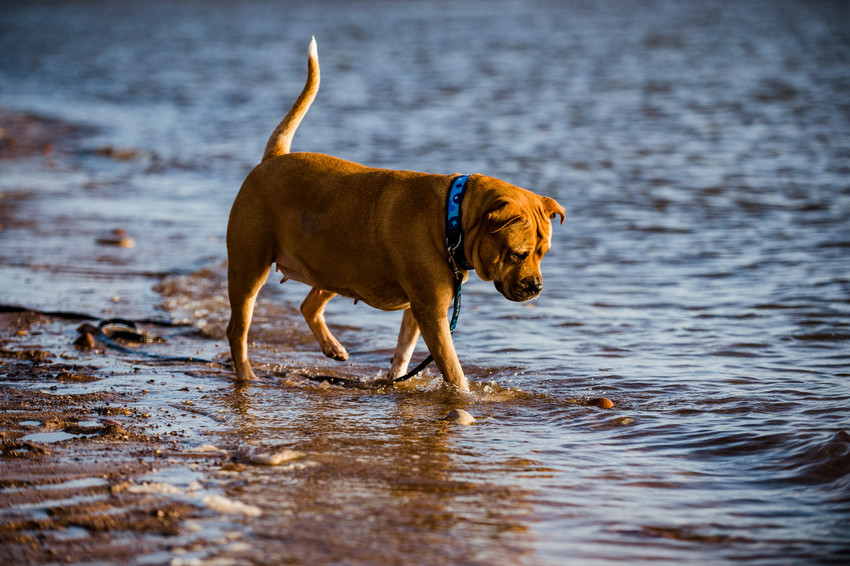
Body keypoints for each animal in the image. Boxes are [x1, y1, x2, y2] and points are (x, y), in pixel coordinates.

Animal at [224, 37, 564, 392]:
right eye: (518, 254)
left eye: (544, 254)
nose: (537, 287)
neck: (453, 217)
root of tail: (273, 158)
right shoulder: (431, 313)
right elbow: (452, 368)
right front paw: (464, 395)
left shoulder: (418, 310)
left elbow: (403, 351)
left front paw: (395, 381)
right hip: (250, 269)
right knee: (237, 329)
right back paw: (246, 375)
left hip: (338, 265)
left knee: (309, 304)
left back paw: (331, 347)